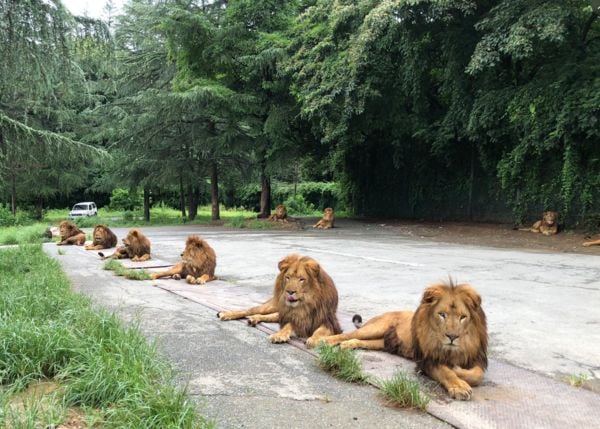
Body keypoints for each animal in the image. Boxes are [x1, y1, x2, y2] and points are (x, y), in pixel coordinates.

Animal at [324, 280, 488, 398]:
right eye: (442, 314)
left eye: (462, 317)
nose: (452, 336)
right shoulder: (426, 361)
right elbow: (446, 372)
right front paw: (459, 386)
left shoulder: (476, 359)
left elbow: (477, 374)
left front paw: (458, 370)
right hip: (374, 328)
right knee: (348, 334)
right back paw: (325, 341)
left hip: (382, 342)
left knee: (361, 341)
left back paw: (347, 345)